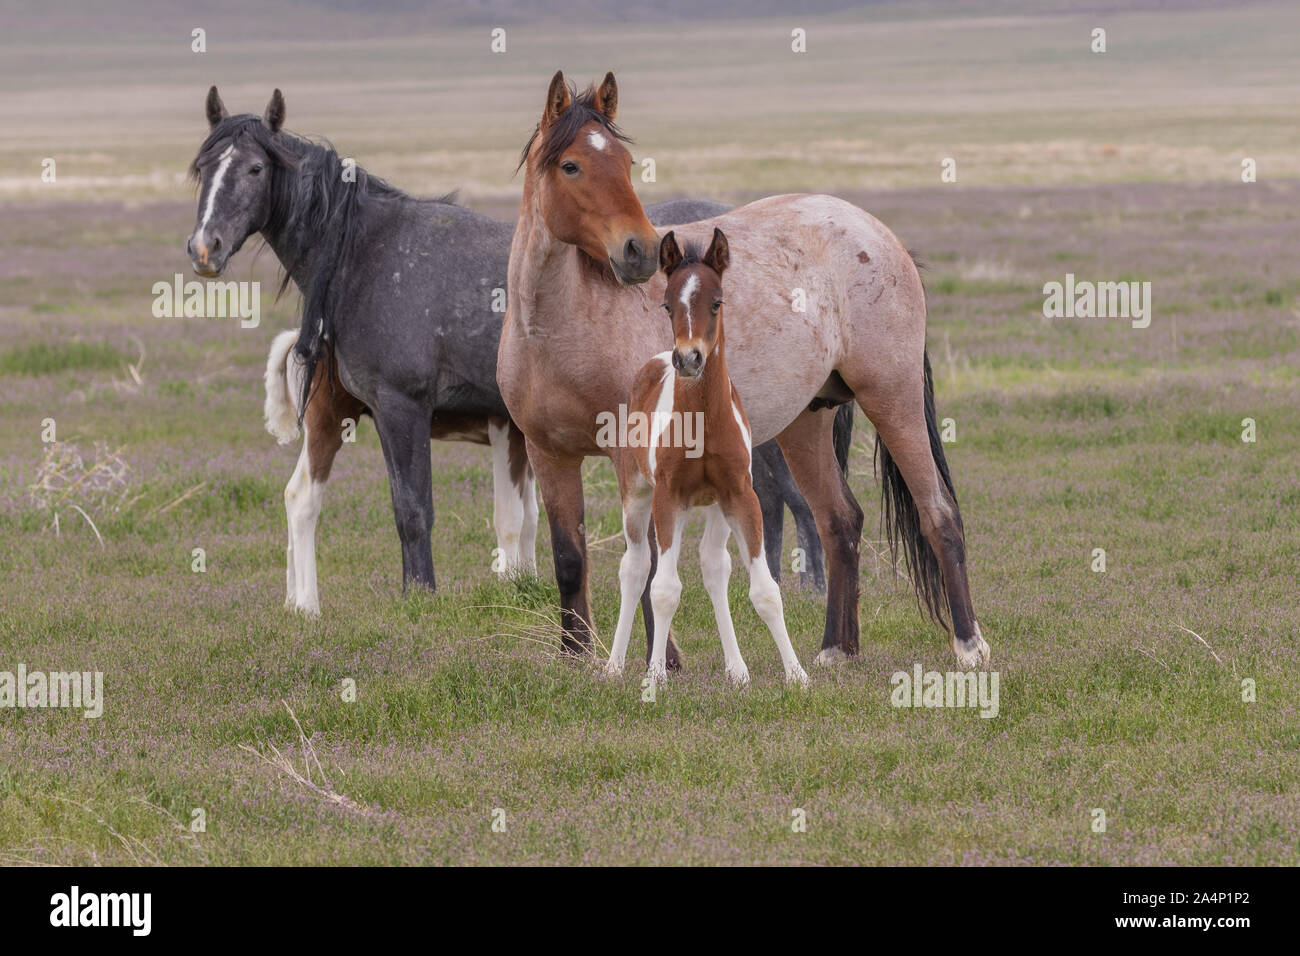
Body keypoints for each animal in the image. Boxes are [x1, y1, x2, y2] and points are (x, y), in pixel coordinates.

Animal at [606, 228, 808, 686]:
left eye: (717, 301)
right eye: (667, 304)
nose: (688, 358)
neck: (701, 420)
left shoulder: (740, 494)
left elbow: (765, 590)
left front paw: (797, 674)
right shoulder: (668, 497)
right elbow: (664, 589)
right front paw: (655, 677)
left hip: (716, 506)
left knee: (714, 566)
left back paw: (737, 669)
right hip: (637, 494)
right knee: (635, 567)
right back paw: (613, 665)